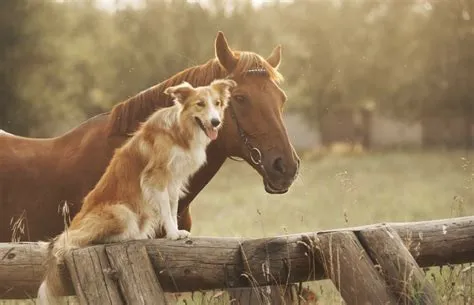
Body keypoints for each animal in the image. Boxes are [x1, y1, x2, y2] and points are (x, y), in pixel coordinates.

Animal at [36, 79, 236, 304]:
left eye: (217, 103)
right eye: (200, 104)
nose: (216, 122)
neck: (180, 130)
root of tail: (73, 226)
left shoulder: (174, 180)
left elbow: (173, 207)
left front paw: (177, 231)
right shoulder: (157, 177)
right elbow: (166, 209)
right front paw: (173, 234)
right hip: (121, 212)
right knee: (82, 239)